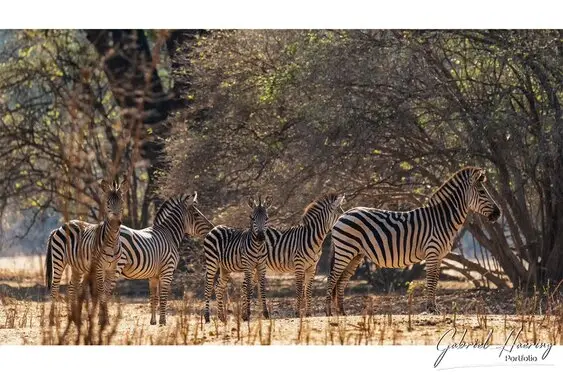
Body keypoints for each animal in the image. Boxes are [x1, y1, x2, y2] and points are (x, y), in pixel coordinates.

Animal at [326, 166, 502, 316]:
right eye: (482, 191)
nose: (499, 213)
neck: (442, 219)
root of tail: (344, 214)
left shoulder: (439, 256)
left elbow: (435, 280)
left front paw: (434, 308)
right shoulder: (432, 252)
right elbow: (431, 280)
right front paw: (430, 309)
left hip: (355, 255)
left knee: (341, 280)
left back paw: (342, 313)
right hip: (345, 250)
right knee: (332, 278)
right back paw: (329, 312)